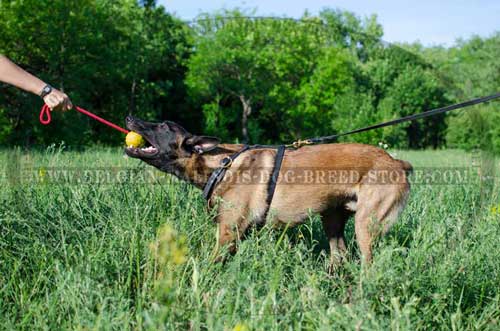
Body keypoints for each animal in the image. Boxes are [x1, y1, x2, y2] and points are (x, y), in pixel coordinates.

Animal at [126, 115, 414, 268]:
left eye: (163, 126)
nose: (130, 118)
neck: (221, 162)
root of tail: (396, 162)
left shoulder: (227, 234)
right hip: (332, 221)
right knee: (340, 256)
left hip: (366, 227)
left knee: (368, 265)